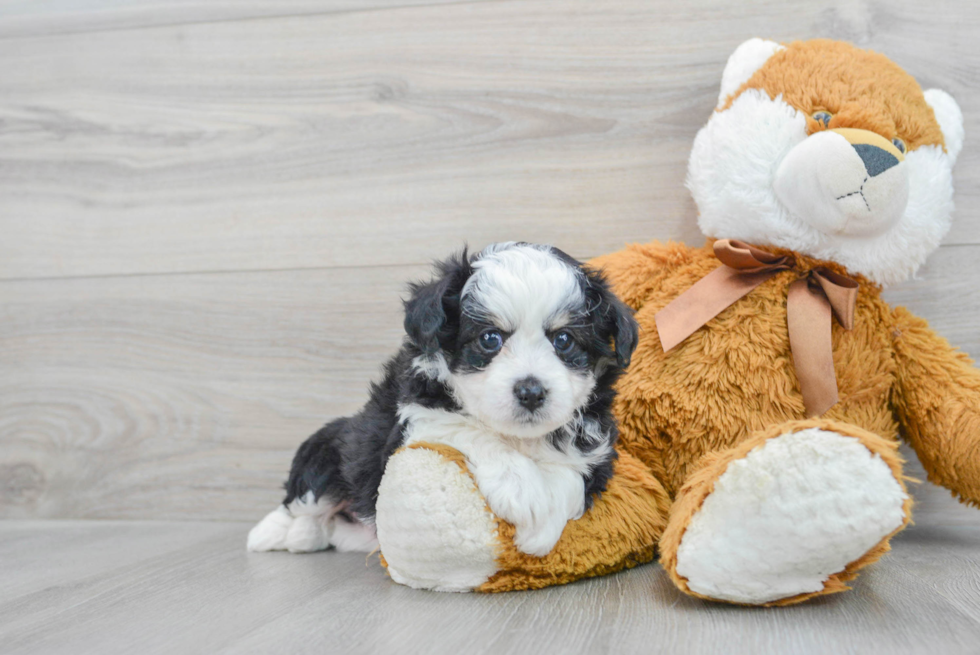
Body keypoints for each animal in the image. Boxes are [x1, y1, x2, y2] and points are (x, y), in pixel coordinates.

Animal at [249, 243, 640, 556]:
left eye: (564, 340)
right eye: (489, 338)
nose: (530, 391)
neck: (519, 437)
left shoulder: (597, 449)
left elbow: (571, 477)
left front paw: (541, 528)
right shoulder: (415, 421)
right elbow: (468, 429)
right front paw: (523, 491)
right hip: (328, 451)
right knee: (304, 499)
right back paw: (274, 534)